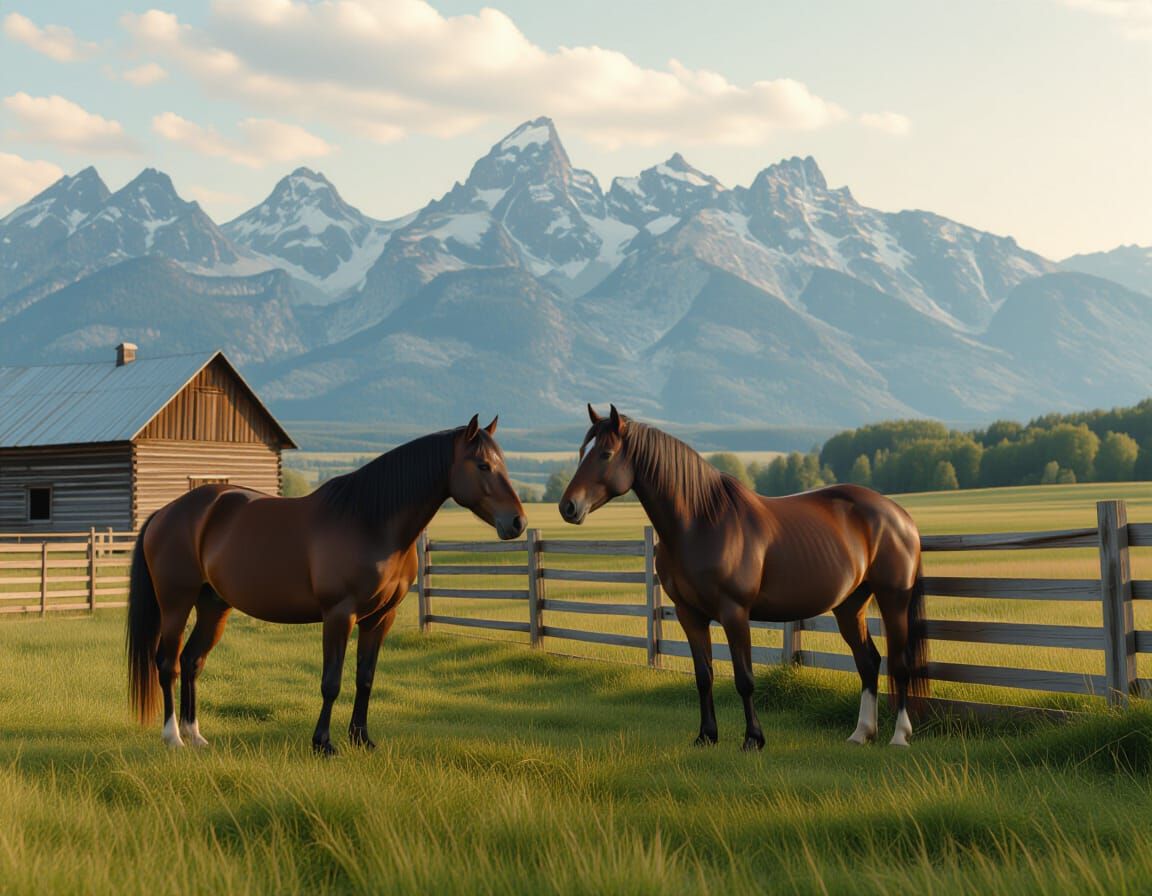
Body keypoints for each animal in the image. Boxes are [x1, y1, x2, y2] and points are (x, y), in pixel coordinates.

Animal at [127, 415, 525, 755]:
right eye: (483, 465)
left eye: (504, 463)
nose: (517, 522)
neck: (369, 521)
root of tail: (165, 512)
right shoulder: (339, 614)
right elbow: (331, 681)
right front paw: (323, 743)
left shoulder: (380, 618)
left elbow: (365, 678)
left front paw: (362, 739)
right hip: (176, 603)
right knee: (168, 663)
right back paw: (174, 737)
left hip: (213, 605)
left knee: (192, 660)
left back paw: (196, 735)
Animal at [559, 405, 927, 749]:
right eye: (581, 450)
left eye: (605, 454)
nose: (568, 507)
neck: (700, 522)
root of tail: (900, 516)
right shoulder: (689, 614)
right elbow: (703, 675)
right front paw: (706, 736)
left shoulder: (734, 613)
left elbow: (744, 679)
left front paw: (753, 739)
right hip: (850, 604)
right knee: (868, 661)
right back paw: (861, 733)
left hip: (893, 599)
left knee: (899, 663)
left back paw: (899, 736)